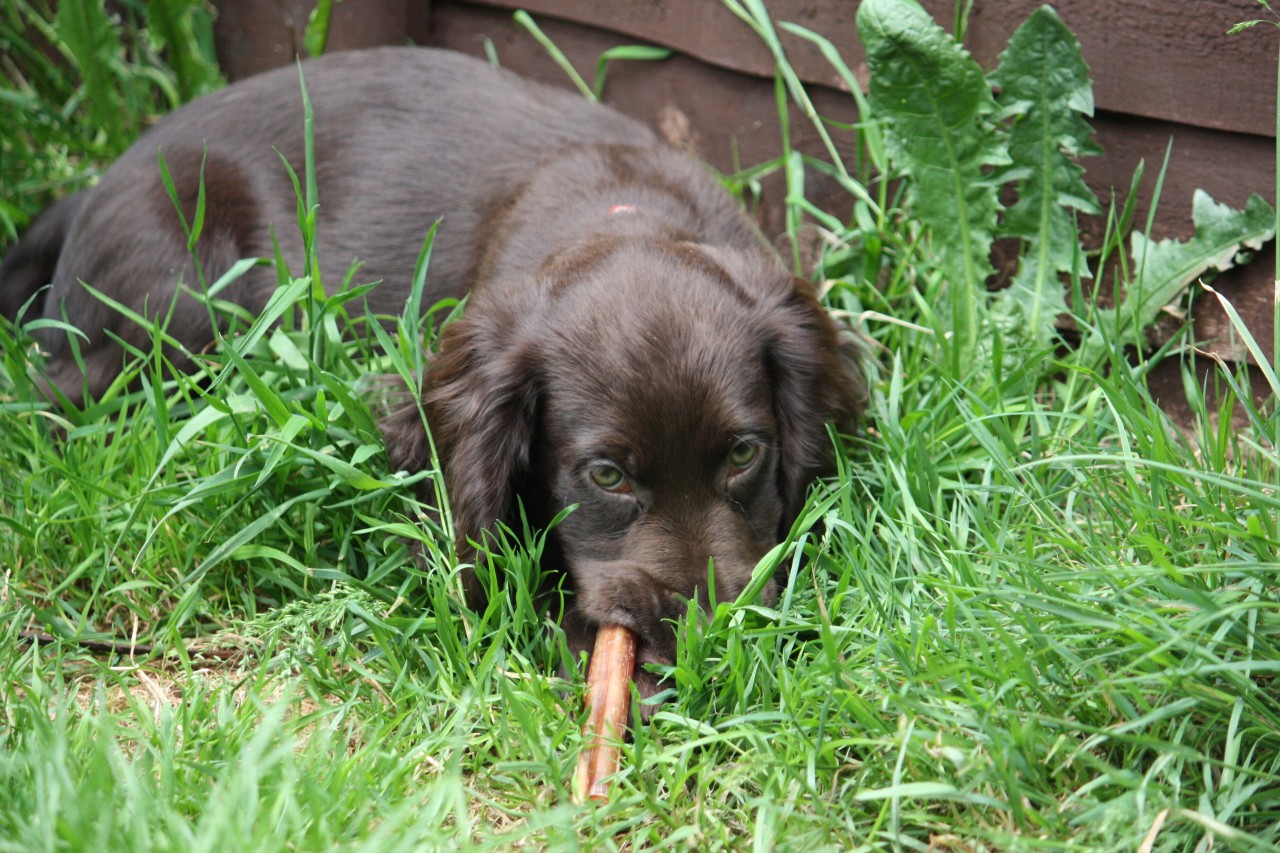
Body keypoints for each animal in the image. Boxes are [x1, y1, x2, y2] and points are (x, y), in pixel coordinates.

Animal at [2, 44, 860, 696]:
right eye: (608, 476)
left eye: (745, 454)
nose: (707, 642)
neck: (621, 211)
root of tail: (94, 189)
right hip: (184, 306)